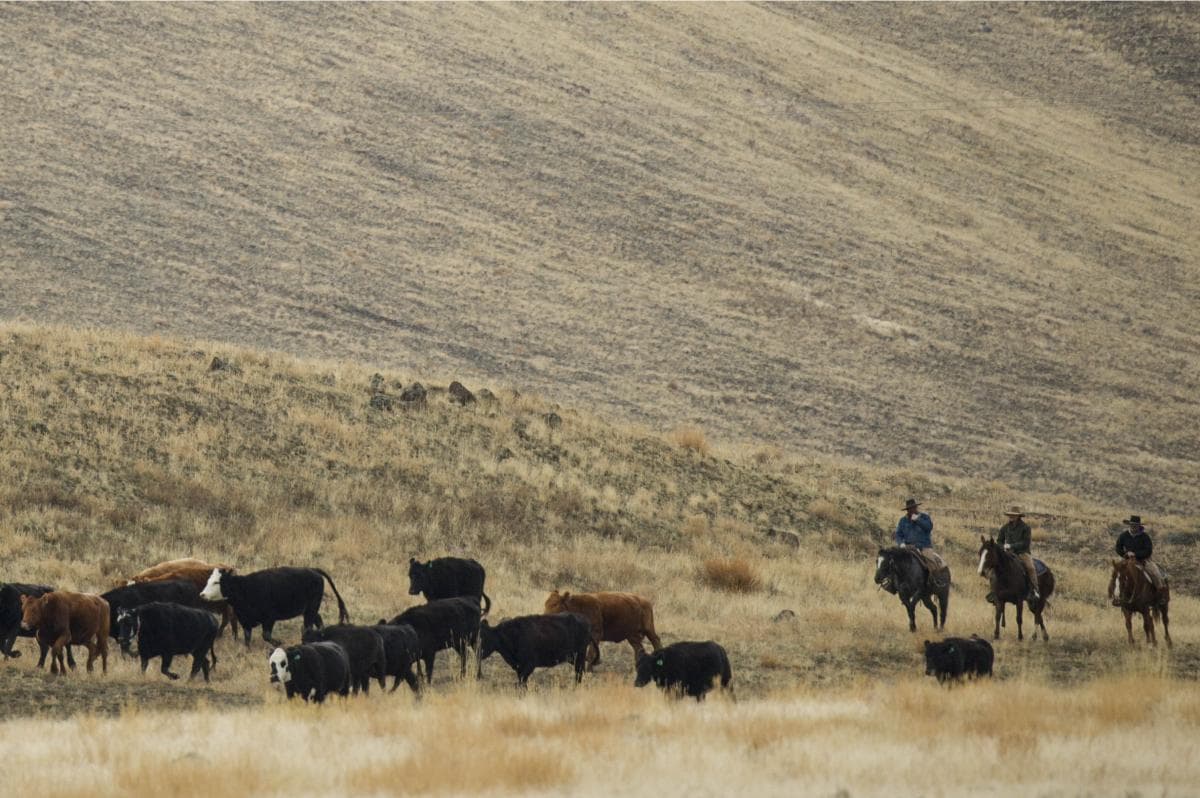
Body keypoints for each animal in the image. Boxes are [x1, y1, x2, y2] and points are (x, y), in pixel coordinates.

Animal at [200, 566, 350, 647]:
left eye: (216, 582)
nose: (202, 594)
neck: (246, 588)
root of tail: (313, 570)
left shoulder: (269, 618)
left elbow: (266, 636)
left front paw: (279, 643)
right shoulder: (245, 620)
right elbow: (247, 638)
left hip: (311, 608)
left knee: (309, 626)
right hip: (309, 609)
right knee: (318, 621)